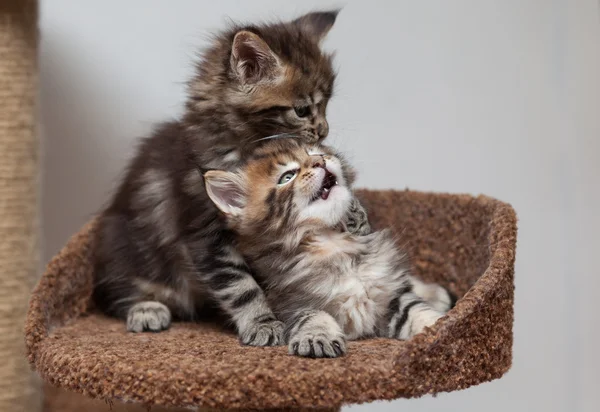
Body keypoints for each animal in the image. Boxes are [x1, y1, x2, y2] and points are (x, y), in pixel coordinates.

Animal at [92, 10, 370, 344]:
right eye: (302, 110)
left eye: (327, 104)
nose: (324, 131)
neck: (243, 147)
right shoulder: (204, 231)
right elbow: (241, 286)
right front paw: (263, 323)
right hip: (122, 247)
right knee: (118, 293)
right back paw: (147, 308)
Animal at [204, 138, 452, 358]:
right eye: (287, 176)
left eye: (314, 152)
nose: (320, 161)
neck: (331, 242)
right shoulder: (287, 303)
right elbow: (312, 315)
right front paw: (317, 337)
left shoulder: (390, 295)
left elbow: (417, 309)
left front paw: (442, 325)